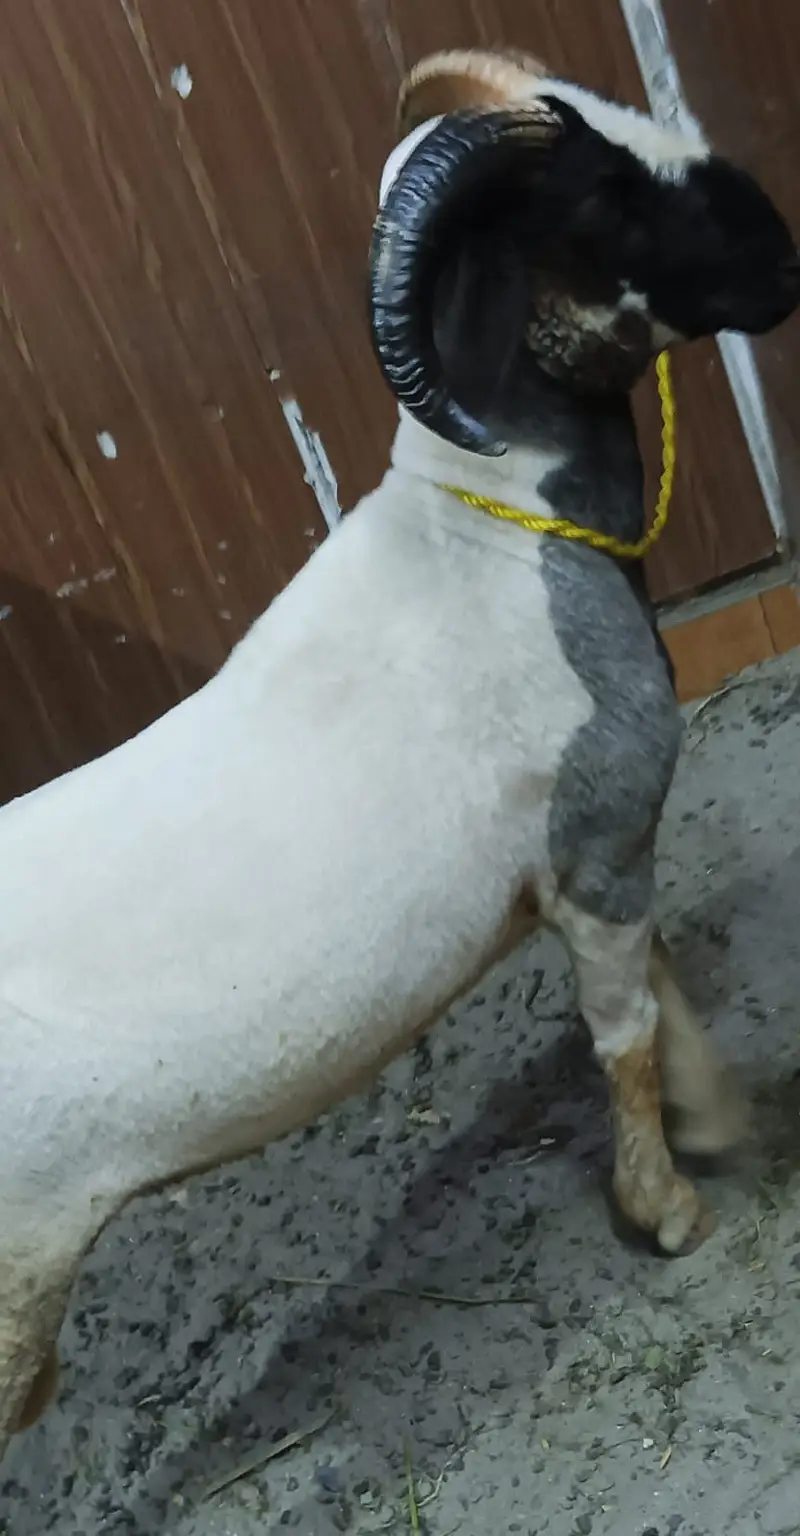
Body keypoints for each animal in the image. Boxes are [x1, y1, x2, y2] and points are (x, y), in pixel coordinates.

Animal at [1, 48, 797, 1454]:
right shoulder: (595, 845)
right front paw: (666, 1212)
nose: (783, 248)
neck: (496, 525)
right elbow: (622, 1033)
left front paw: (714, 1122)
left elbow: (657, 991)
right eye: (600, 192)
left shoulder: (591, 860)